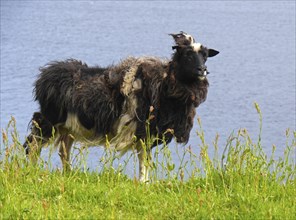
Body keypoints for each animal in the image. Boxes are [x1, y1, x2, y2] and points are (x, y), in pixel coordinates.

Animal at [23, 31, 219, 182]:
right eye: (187, 55)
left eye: (205, 55)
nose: (202, 71)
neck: (166, 85)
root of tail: (45, 75)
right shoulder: (142, 130)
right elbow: (144, 159)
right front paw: (144, 183)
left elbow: (145, 159)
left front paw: (145, 182)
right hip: (49, 119)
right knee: (33, 144)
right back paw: (32, 171)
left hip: (68, 126)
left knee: (64, 150)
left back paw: (68, 173)